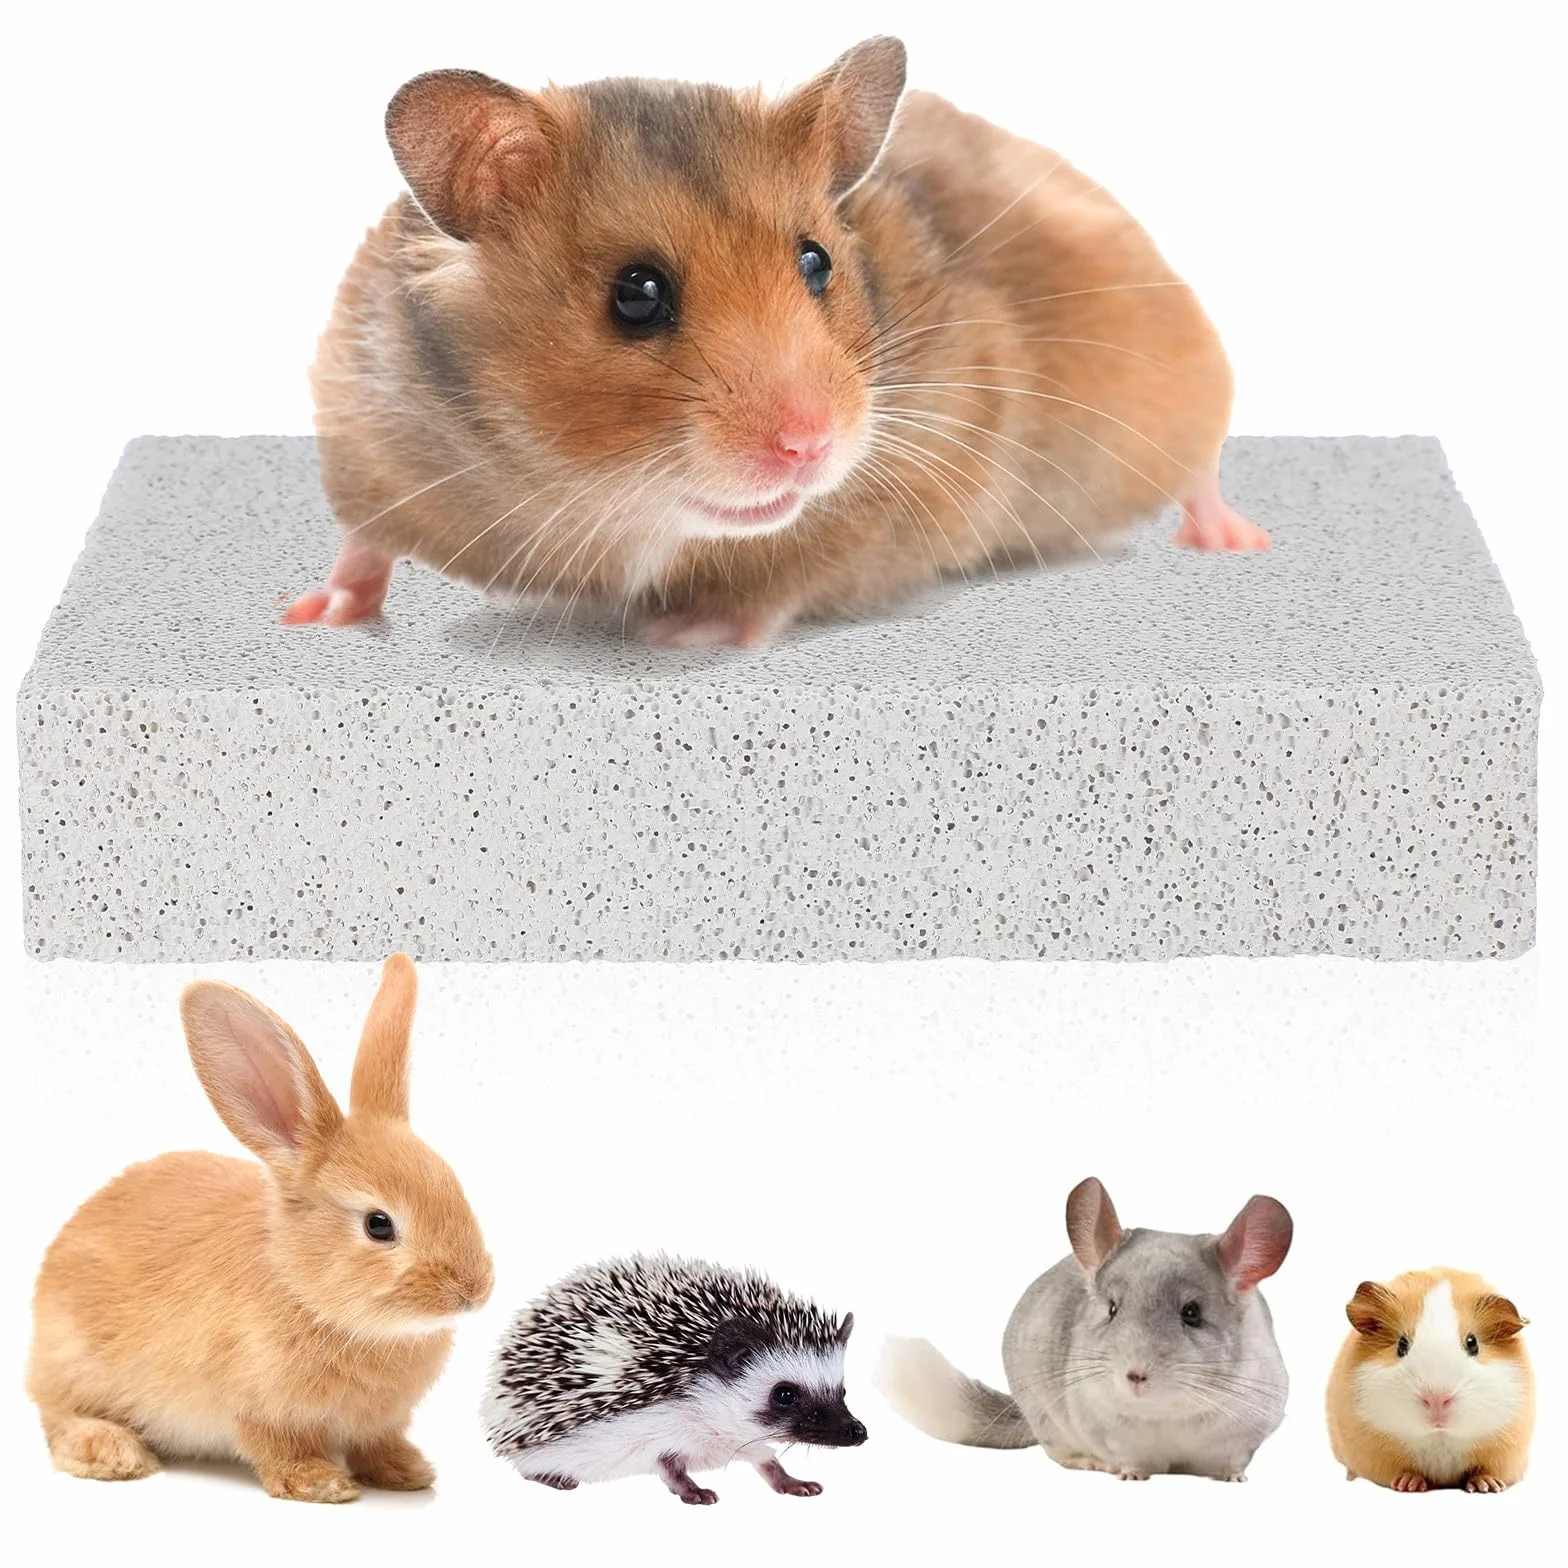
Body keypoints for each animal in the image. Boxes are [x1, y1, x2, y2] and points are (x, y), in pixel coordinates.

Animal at [26, 954, 493, 1502]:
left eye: (454, 1186)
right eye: (379, 1225)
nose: (473, 1291)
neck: (306, 1290)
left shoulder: (380, 1422)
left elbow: (377, 1444)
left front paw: (407, 1472)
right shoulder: (260, 1407)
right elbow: (278, 1447)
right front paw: (320, 1484)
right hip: (72, 1363)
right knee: (57, 1417)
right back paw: (111, 1452)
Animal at [287, 35, 1266, 646]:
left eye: (816, 260)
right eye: (635, 295)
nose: (810, 446)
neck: (601, 498)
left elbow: (782, 579)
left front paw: (686, 634)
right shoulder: (367, 433)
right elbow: (362, 543)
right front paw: (309, 614)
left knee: (1201, 469)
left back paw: (1235, 540)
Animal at [876, 1177, 1293, 1480]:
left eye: (1192, 1312)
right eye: (1111, 1309)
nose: (1135, 1375)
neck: (1167, 1415)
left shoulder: (1246, 1434)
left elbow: (1232, 1464)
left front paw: (1236, 1479)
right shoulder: (1103, 1428)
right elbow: (1129, 1459)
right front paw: (1129, 1475)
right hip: (1045, 1417)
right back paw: (1092, 1464)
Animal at [1326, 1269, 1534, 1493]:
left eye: (1473, 1343)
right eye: (1401, 1345)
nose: (1436, 1400)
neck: (1439, 1437)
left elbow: (1485, 1470)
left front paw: (1487, 1486)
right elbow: (1402, 1471)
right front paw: (1409, 1484)